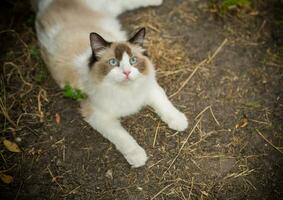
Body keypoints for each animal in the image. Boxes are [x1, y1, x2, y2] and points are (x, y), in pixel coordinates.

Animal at [35, 0, 190, 167]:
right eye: (113, 62)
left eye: (132, 60)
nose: (127, 72)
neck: (125, 91)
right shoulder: (98, 116)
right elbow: (123, 137)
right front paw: (137, 157)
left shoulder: (150, 88)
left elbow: (165, 105)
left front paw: (179, 121)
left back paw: (157, 1)